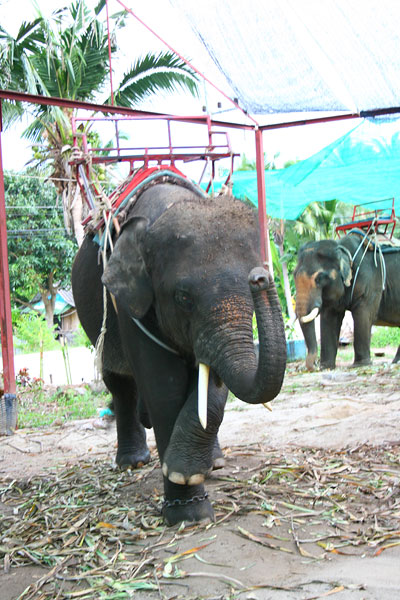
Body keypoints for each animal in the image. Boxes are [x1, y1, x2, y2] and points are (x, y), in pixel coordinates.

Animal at [70, 182, 286, 524]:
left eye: (251, 284)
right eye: (183, 297)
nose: (260, 277)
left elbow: (210, 384)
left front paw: (185, 472)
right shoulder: (130, 305)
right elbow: (163, 386)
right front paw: (188, 509)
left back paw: (213, 463)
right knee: (119, 383)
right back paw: (132, 462)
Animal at [292, 230, 400, 370]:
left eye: (319, 278)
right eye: (293, 275)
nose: (314, 365)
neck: (341, 248)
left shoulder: (371, 281)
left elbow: (363, 314)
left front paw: (361, 365)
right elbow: (329, 318)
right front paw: (326, 367)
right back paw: (395, 362)